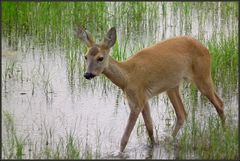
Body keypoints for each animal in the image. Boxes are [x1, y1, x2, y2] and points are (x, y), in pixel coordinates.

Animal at [75, 26, 225, 152]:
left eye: (100, 58)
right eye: (85, 56)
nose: (87, 74)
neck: (127, 78)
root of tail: (206, 49)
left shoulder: (138, 100)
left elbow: (125, 137)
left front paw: (120, 153)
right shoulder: (143, 98)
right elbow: (149, 128)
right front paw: (153, 145)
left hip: (202, 75)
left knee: (219, 104)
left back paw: (225, 132)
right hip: (173, 86)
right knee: (182, 113)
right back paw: (170, 140)